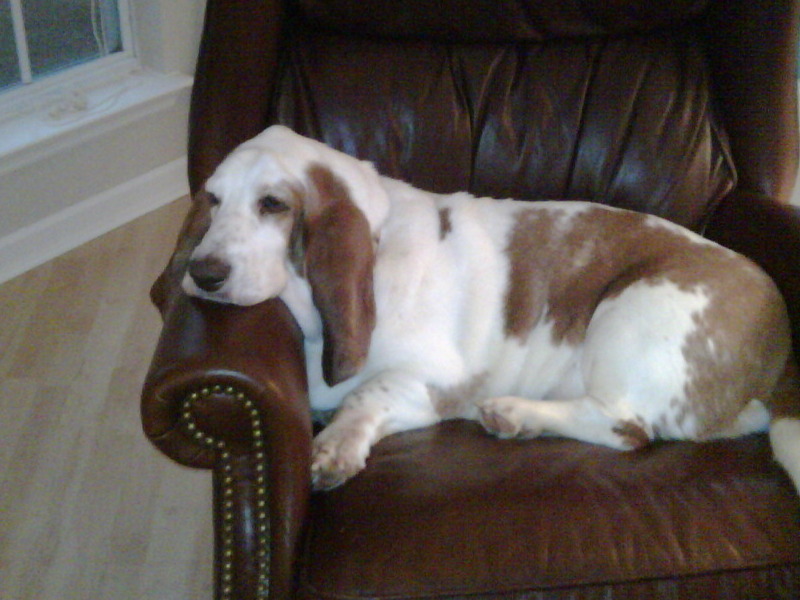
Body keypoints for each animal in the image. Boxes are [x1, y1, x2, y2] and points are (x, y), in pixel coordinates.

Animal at [183, 125, 800, 492]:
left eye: (273, 204)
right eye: (212, 199)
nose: (202, 272)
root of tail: (779, 352)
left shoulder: (433, 381)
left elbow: (366, 394)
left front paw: (333, 447)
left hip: (628, 310)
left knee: (627, 427)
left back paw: (513, 413)